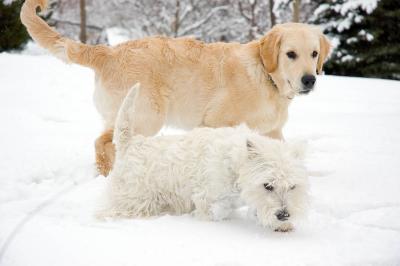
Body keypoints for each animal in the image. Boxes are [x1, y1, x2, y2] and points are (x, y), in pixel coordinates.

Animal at [99, 84, 310, 231]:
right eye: (268, 185)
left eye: (292, 186)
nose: (284, 215)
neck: (235, 165)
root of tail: (130, 143)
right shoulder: (206, 198)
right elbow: (217, 210)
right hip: (134, 200)